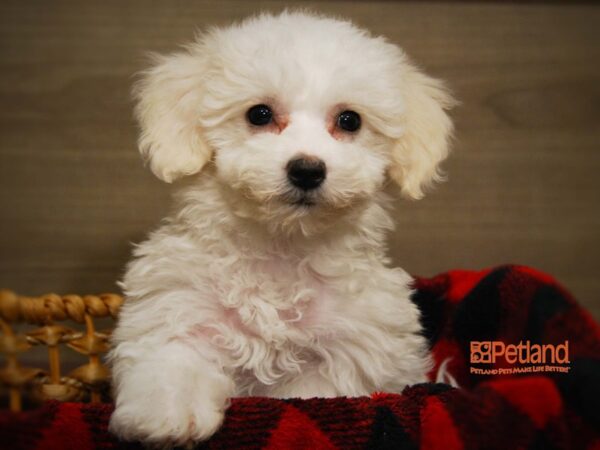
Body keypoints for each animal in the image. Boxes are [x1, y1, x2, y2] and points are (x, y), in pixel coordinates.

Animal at [109, 10, 454, 446]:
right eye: (259, 114)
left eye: (349, 120)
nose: (307, 170)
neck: (282, 247)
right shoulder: (179, 305)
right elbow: (173, 358)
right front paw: (167, 416)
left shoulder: (346, 354)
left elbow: (308, 395)